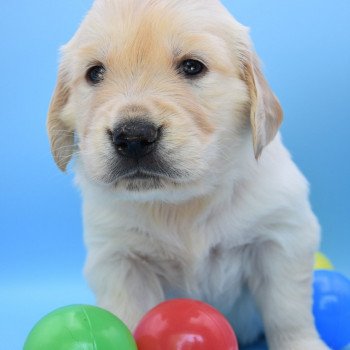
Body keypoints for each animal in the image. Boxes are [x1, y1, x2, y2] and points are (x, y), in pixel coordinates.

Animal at [47, 1, 330, 348]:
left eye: (193, 67)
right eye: (95, 73)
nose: (133, 137)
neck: (182, 202)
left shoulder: (282, 237)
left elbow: (287, 311)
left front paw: (301, 343)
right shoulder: (120, 259)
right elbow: (127, 314)